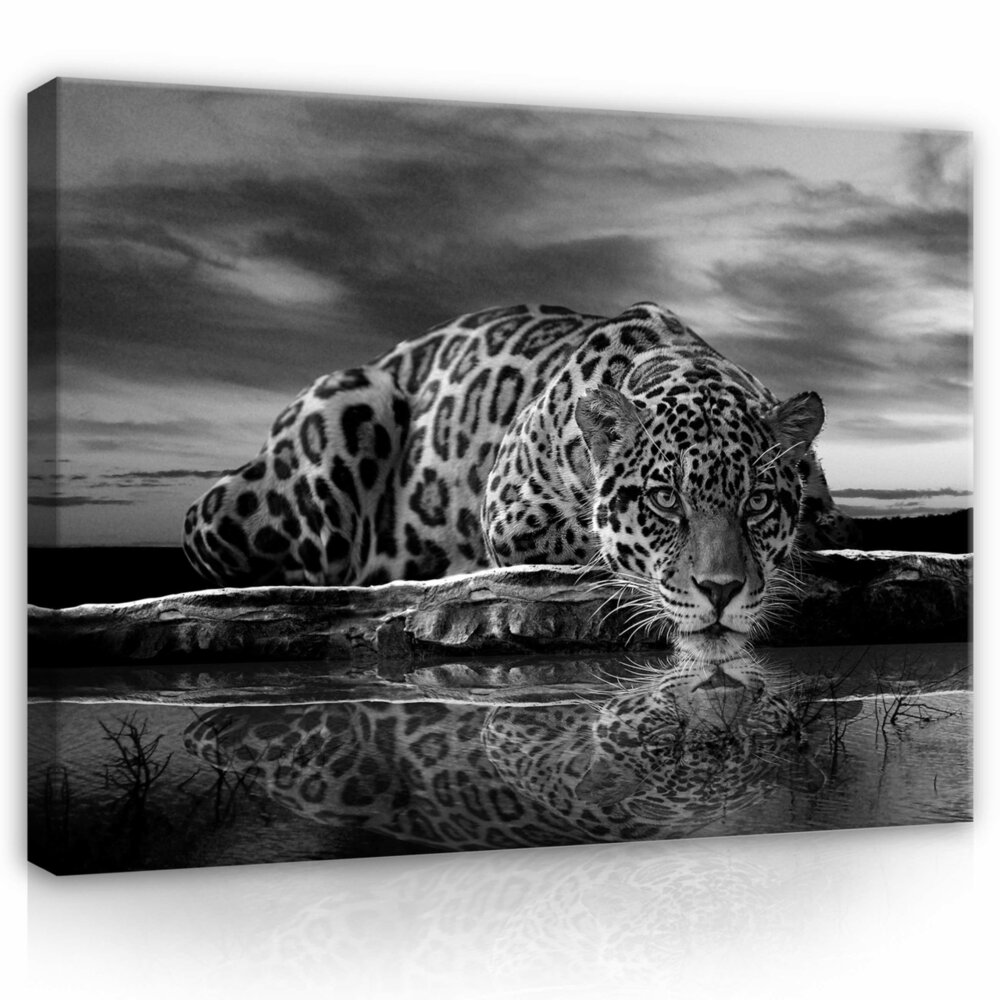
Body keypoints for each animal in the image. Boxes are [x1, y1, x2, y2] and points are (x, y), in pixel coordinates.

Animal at [183, 302, 858, 640]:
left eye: (758, 503)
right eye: (665, 501)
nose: (721, 592)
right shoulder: (511, 513)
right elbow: (594, 538)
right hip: (348, 401)